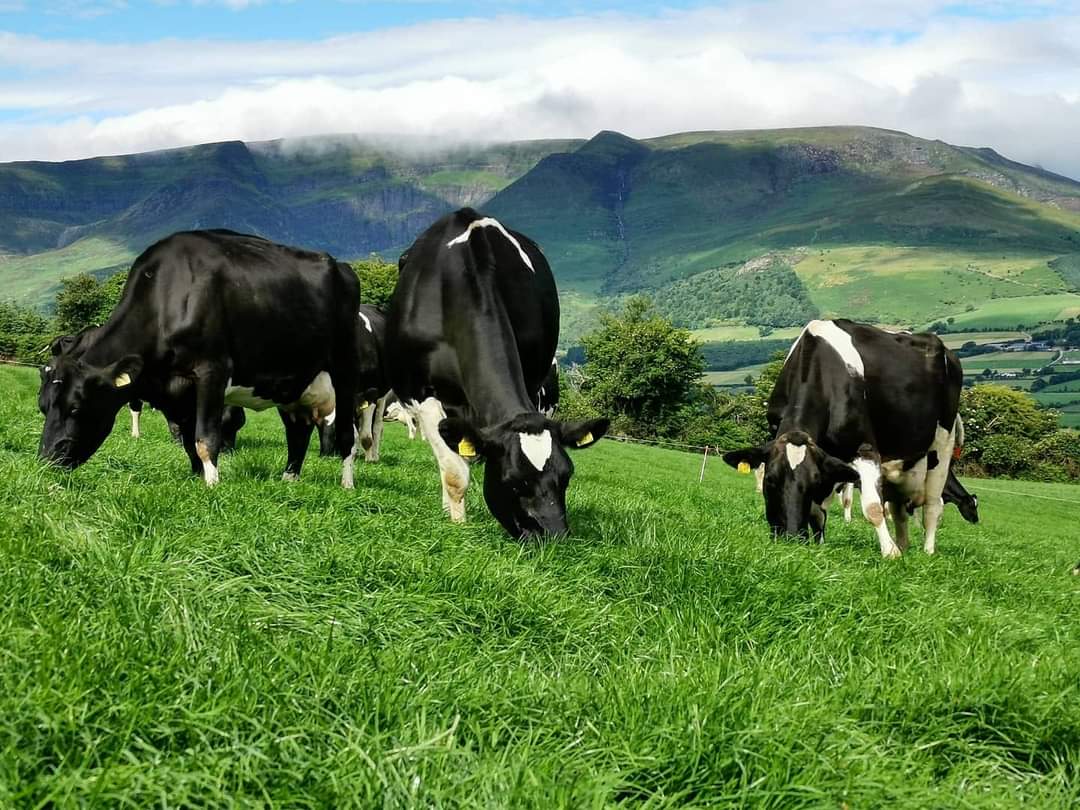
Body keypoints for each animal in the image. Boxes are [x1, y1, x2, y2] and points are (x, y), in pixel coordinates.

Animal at [38, 229, 360, 488]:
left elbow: (205, 438)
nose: (46, 459)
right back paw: (288, 479)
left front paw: (211, 485)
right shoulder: (179, 392)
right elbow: (188, 440)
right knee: (298, 431)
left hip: (345, 371)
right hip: (292, 382)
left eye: (77, 408)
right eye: (42, 406)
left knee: (346, 434)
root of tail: (343, 267)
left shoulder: (212, 371)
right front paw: (196, 477)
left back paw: (347, 484)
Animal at [385, 208, 609, 539]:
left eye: (566, 476)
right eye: (513, 481)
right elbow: (454, 472)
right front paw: (458, 524)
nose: (554, 537)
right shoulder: (420, 391)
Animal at [723, 319, 962, 557]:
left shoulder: (864, 449)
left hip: (943, 442)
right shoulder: (825, 459)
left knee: (933, 505)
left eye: (813, 483)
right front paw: (820, 545)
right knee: (898, 508)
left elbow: (873, 507)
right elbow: (818, 513)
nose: (791, 538)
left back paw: (927, 551)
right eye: (770, 480)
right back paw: (903, 545)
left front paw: (890, 553)